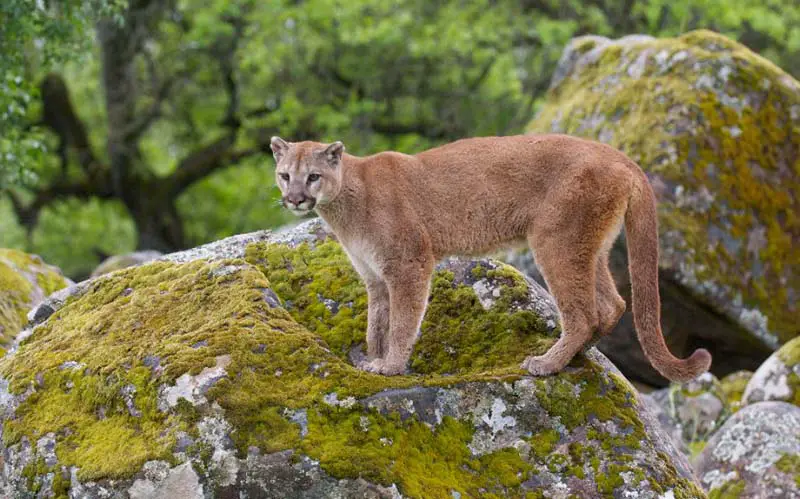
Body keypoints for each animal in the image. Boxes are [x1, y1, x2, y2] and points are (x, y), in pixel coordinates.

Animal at [270, 134, 712, 382]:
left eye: (313, 176)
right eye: (284, 175)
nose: (294, 199)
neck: (345, 202)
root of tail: (622, 157)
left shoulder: (409, 262)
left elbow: (401, 323)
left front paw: (391, 367)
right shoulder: (375, 276)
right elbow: (376, 324)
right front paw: (372, 359)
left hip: (555, 239)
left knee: (585, 312)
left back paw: (548, 363)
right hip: (589, 245)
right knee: (612, 304)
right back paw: (578, 354)